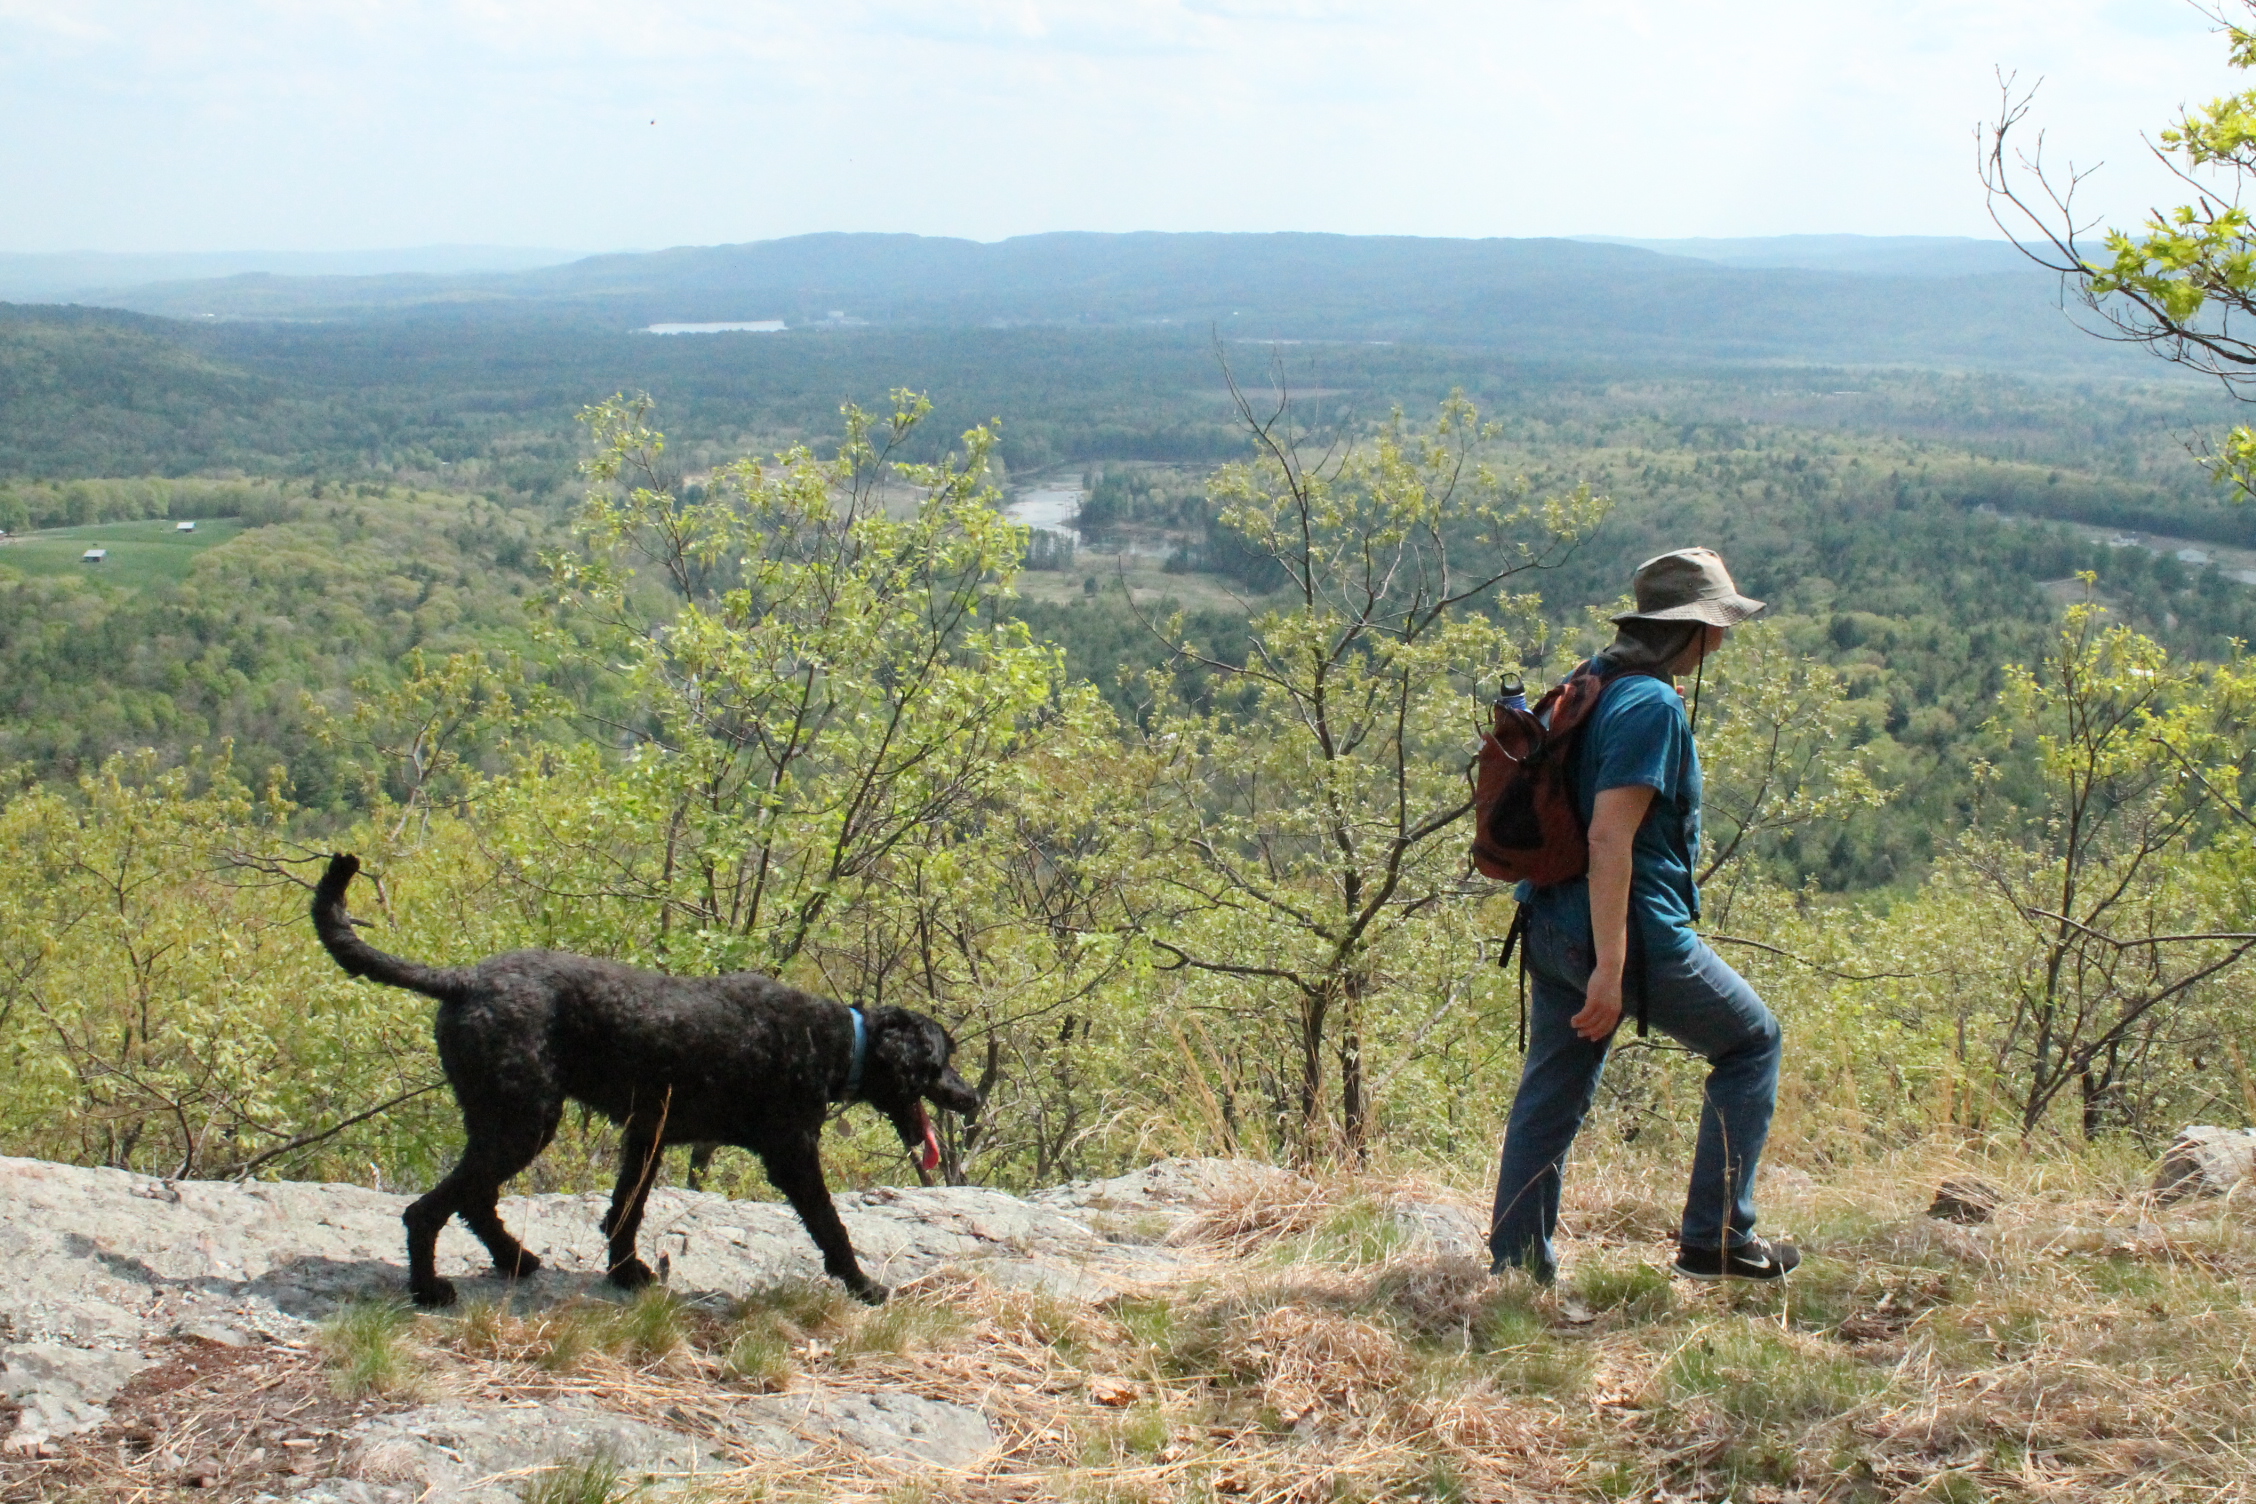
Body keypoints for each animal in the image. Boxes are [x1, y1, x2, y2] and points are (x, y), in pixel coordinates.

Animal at [313, 856, 983, 1307]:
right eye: (940, 1061)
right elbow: (829, 1224)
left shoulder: (647, 1133)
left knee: (474, 1198)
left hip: (505, 1120)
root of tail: (463, 981)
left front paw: (624, 1271)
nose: (972, 1097)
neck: (842, 1041)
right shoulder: (792, 1154)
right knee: (428, 1210)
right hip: (524, 1120)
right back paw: (429, 1288)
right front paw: (864, 1284)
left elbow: (625, 1210)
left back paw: (515, 1260)